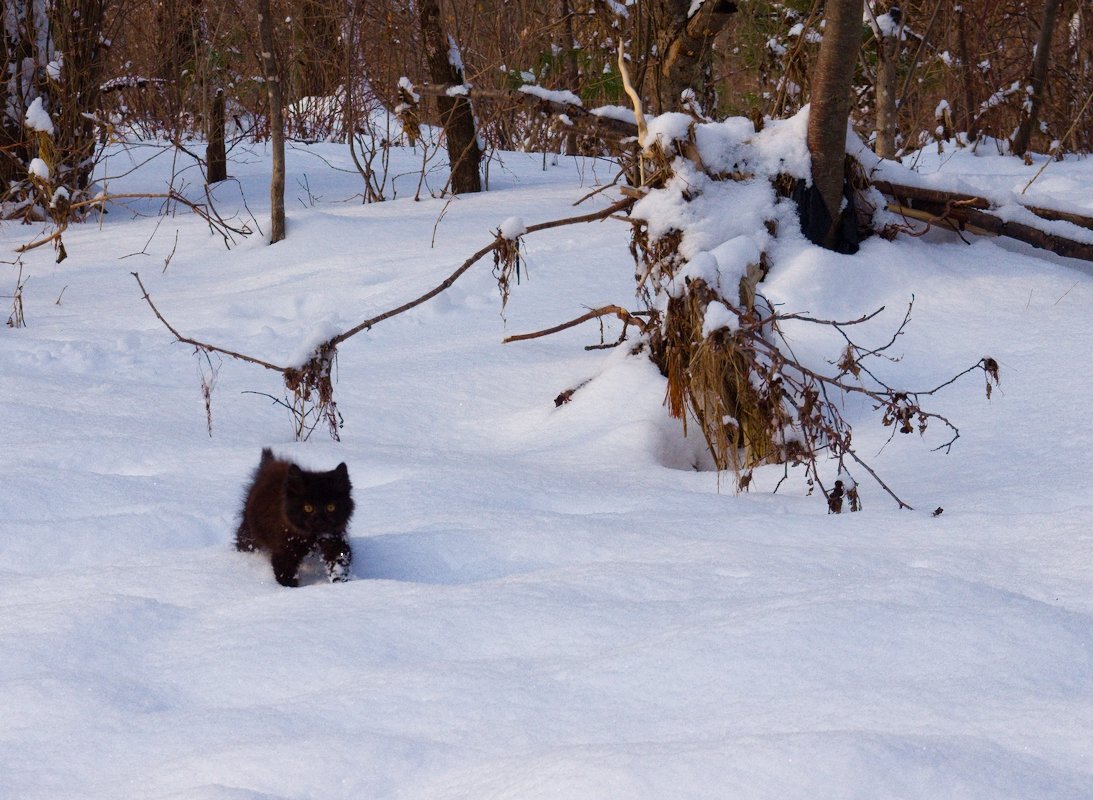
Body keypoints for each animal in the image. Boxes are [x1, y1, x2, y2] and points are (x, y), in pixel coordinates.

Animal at [234, 450, 354, 585]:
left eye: (331, 507)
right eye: (308, 507)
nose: (320, 520)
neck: (313, 537)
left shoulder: (335, 539)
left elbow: (339, 561)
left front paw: (341, 582)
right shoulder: (285, 551)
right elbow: (285, 574)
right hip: (250, 532)